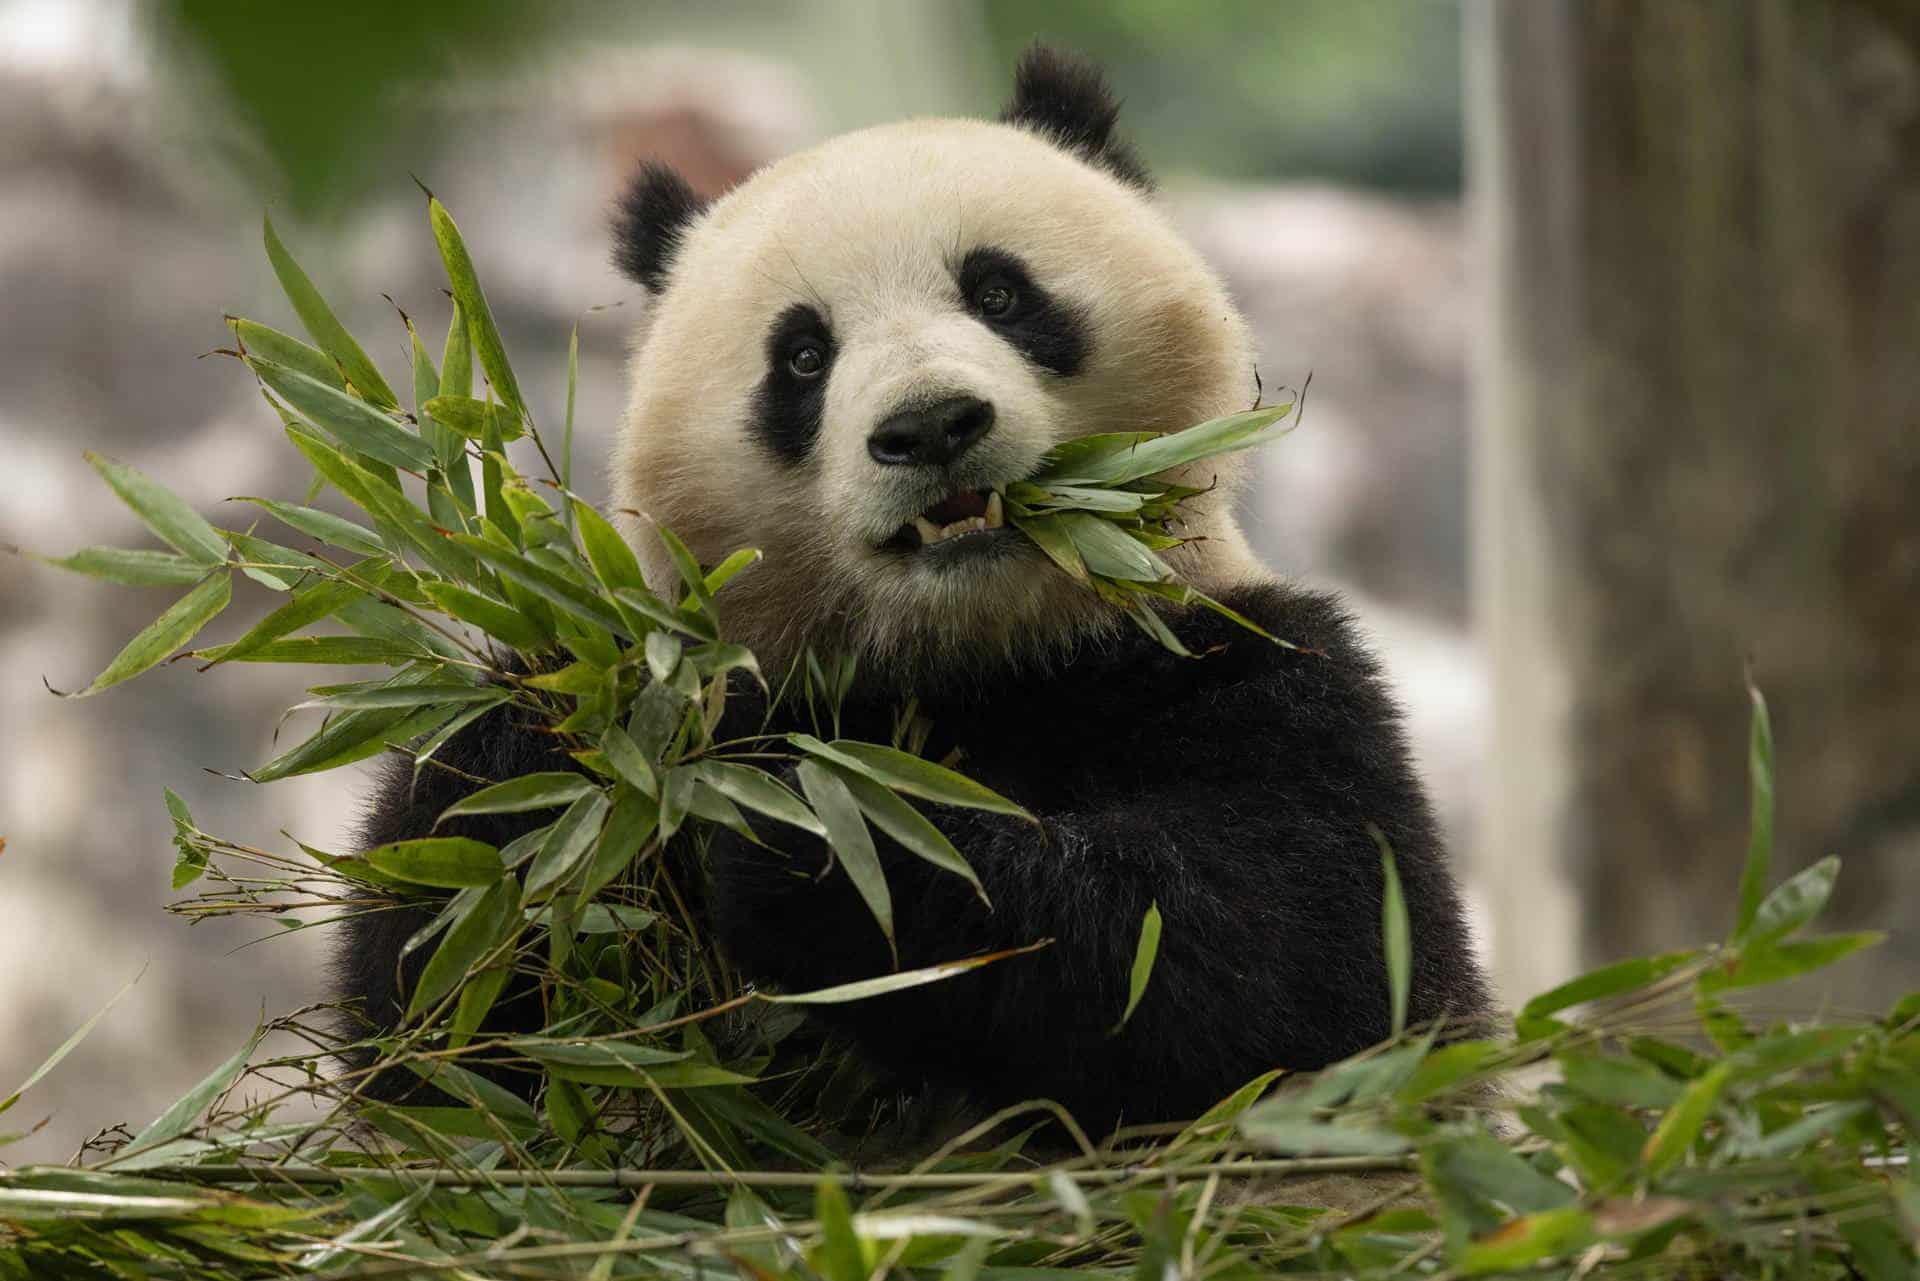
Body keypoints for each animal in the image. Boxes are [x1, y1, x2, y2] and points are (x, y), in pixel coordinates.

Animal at [341, 47, 1482, 1129]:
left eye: (1000, 293)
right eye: (803, 355)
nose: (931, 426)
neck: (977, 653)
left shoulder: (1253, 665)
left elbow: (1290, 955)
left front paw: (822, 838)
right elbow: (440, 1024)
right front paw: (544, 752)